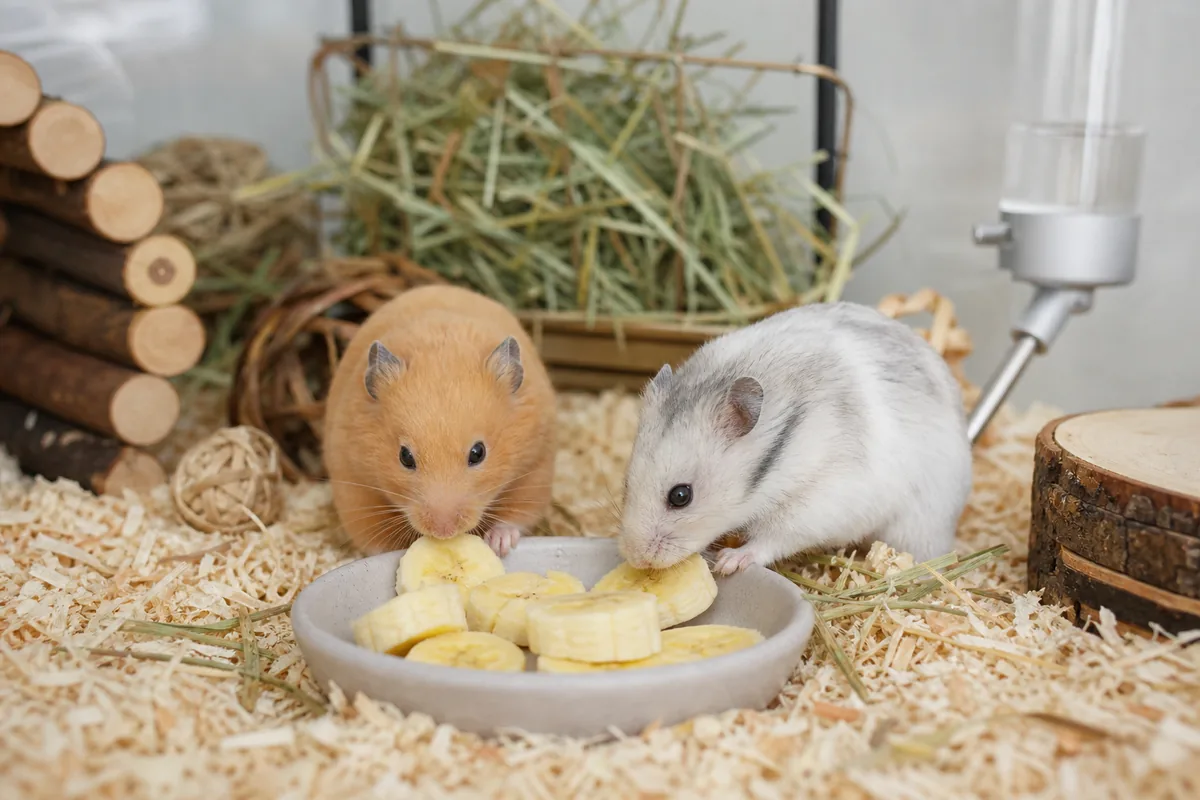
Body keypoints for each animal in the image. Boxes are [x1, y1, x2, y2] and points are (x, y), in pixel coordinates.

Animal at [323, 284, 557, 558]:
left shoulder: (535, 468)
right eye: (405, 457)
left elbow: (514, 518)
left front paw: (499, 543)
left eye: (478, 453)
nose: (443, 531)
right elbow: (373, 540)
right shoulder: (353, 483)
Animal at [616, 300, 973, 575]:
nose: (637, 559)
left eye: (681, 496)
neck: (782, 446)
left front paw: (729, 561)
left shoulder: (821, 503)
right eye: (626, 483)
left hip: (916, 526)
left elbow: (774, 538)